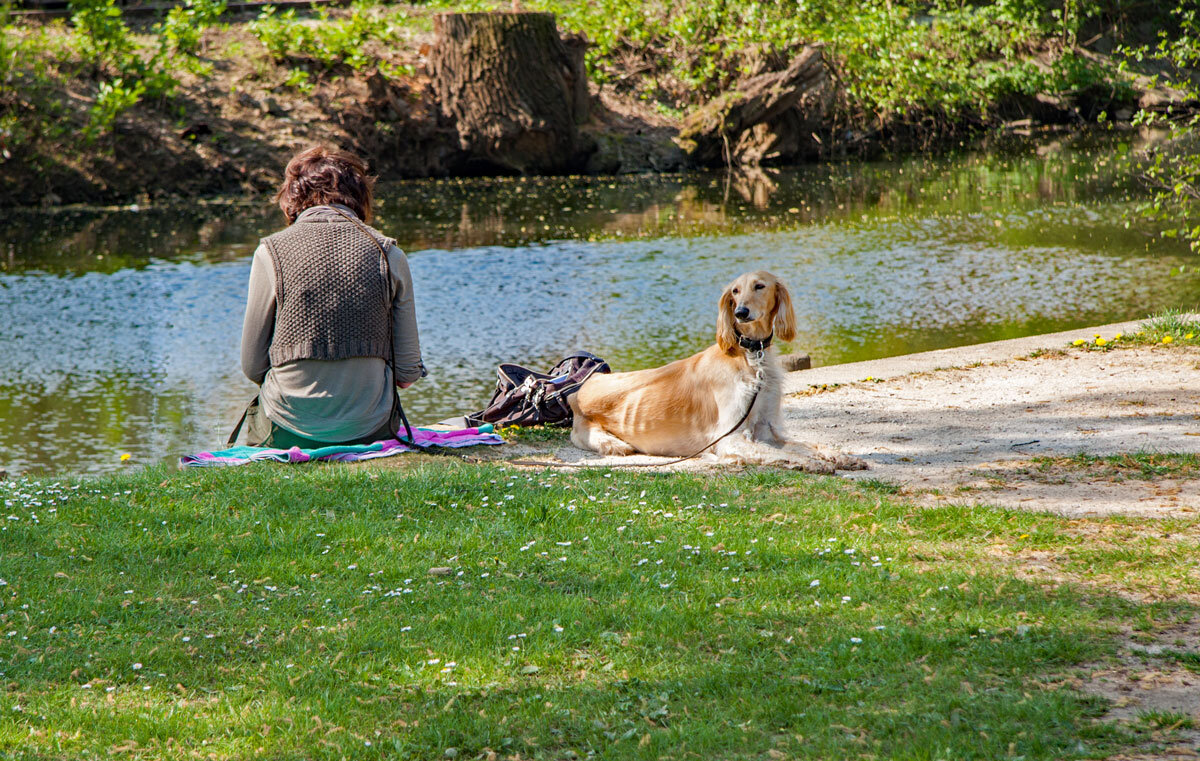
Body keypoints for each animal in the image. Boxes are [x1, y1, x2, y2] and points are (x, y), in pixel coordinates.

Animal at [566, 266, 868, 468]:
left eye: (760, 286)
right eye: (735, 291)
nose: (741, 312)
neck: (750, 357)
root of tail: (577, 391)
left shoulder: (767, 428)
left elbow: (807, 444)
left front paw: (838, 456)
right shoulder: (729, 437)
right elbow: (783, 454)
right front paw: (815, 464)